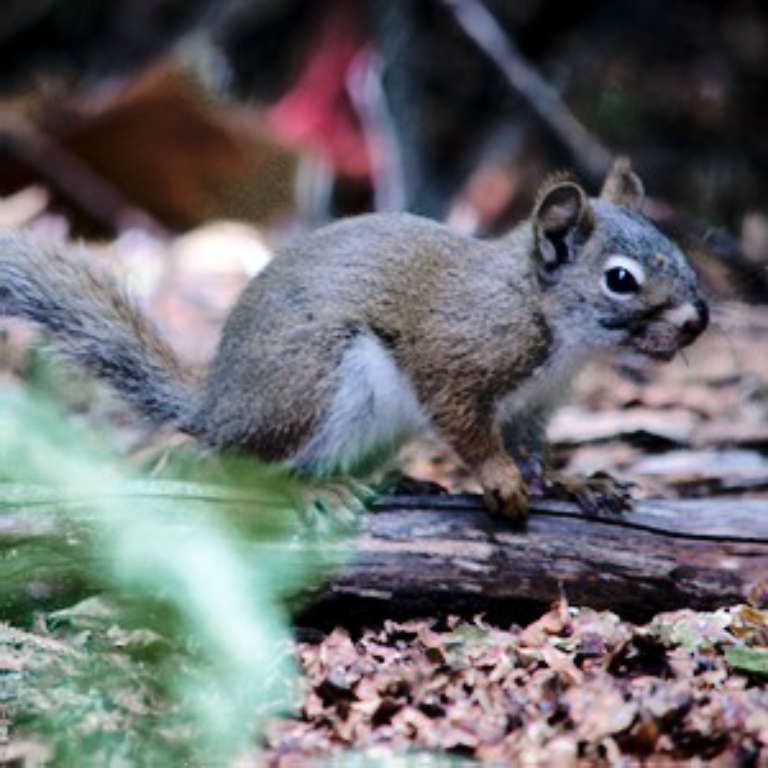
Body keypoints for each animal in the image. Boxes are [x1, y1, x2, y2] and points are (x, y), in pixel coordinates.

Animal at [1, 160, 708, 520]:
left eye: (677, 250)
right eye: (621, 280)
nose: (697, 320)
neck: (550, 324)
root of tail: (218, 406)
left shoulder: (532, 405)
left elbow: (536, 452)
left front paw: (570, 482)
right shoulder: (457, 356)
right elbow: (467, 426)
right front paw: (499, 478)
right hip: (309, 388)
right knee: (232, 461)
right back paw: (310, 488)